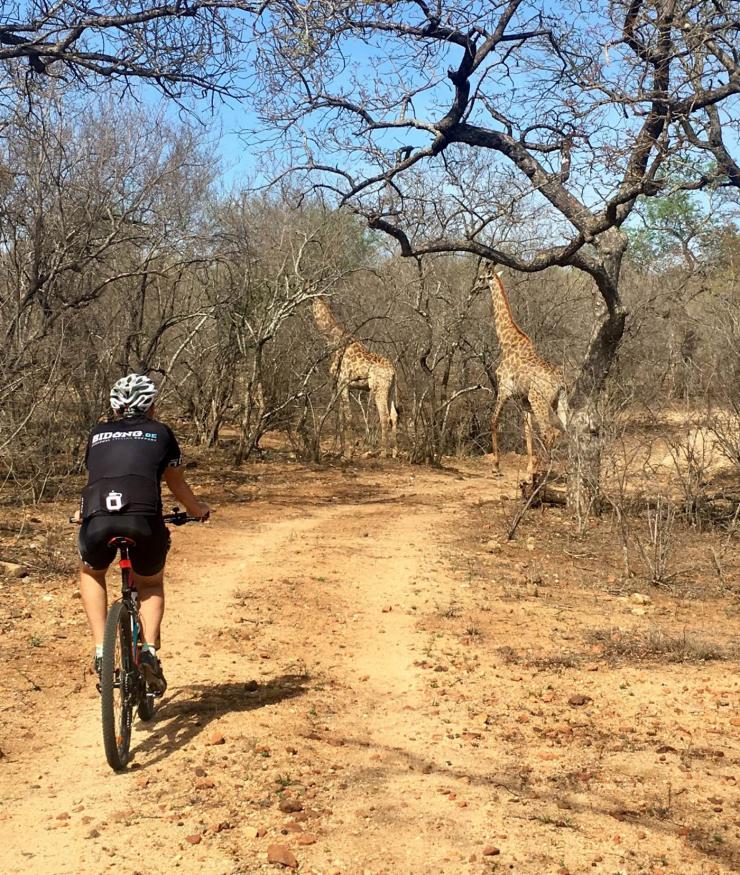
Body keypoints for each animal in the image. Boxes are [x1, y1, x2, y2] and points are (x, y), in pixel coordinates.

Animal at [312, 296, 398, 458]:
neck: (333, 340)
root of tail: (393, 372)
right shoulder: (340, 385)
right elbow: (340, 417)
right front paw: (339, 450)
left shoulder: (343, 383)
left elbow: (348, 417)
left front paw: (348, 453)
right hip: (391, 390)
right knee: (394, 416)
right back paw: (395, 452)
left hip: (379, 388)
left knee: (384, 416)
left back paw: (384, 453)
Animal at [482, 268, 568, 480]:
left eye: (482, 277)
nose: (476, 287)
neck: (507, 342)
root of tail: (560, 381)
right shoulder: (523, 400)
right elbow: (527, 430)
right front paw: (529, 466)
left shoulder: (504, 389)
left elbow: (493, 420)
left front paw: (496, 466)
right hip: (558, 401)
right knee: (565, 430)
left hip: (540, 401)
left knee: (549, 432)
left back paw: (541, 473)